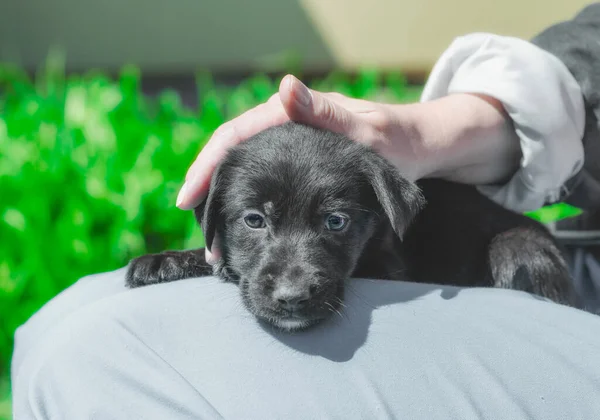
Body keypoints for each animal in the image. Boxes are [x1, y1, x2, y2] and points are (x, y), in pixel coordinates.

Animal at [126, 123, 580, 330]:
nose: (291, 298)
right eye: (254, 220)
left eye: (335, 221)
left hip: (520, 248)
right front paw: (167, 260)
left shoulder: (390, 267)